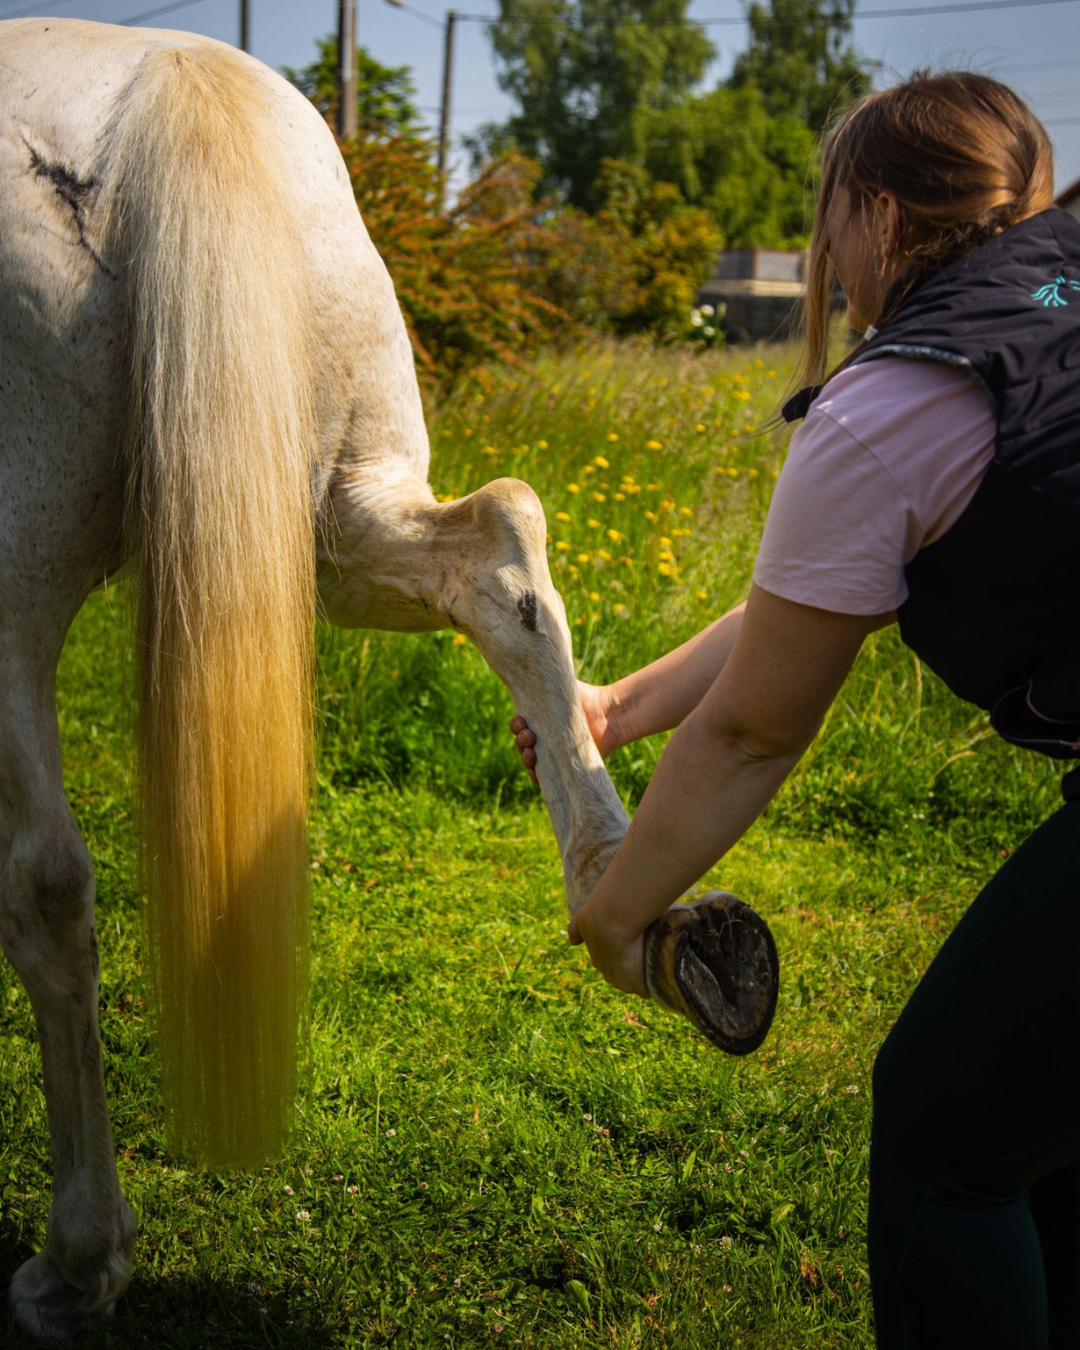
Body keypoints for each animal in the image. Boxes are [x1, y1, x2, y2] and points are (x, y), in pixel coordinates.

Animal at [0, 18, 777, 1338]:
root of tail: (166, 85)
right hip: (334, 519)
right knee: (504, 553)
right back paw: (632, 904)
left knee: (48, 886)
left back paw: (78, 1259)